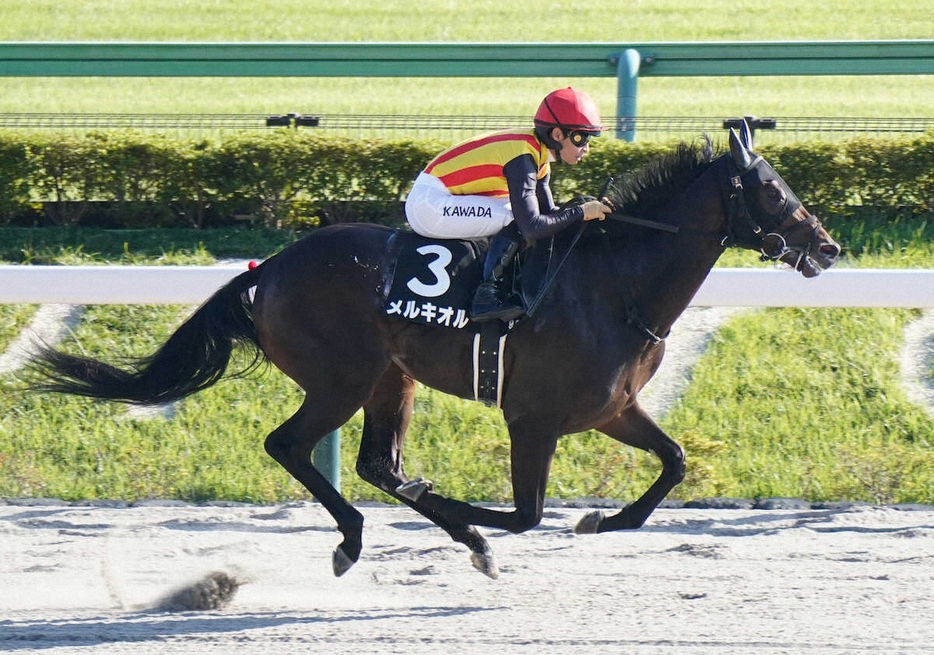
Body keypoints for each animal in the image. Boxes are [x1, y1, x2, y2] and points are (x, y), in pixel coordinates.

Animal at [27, 123, 840, 580]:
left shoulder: (613, 407)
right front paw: (474, 522)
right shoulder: (532, 419)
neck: (616, 284)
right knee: (291, 445)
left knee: (373, 464)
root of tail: (269, 268)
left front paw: (596, 522)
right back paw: (359, 537)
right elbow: (524, 515)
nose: (828, 248)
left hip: (392, 378)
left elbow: (672, 464)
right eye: (772, 192)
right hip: (342, 377)